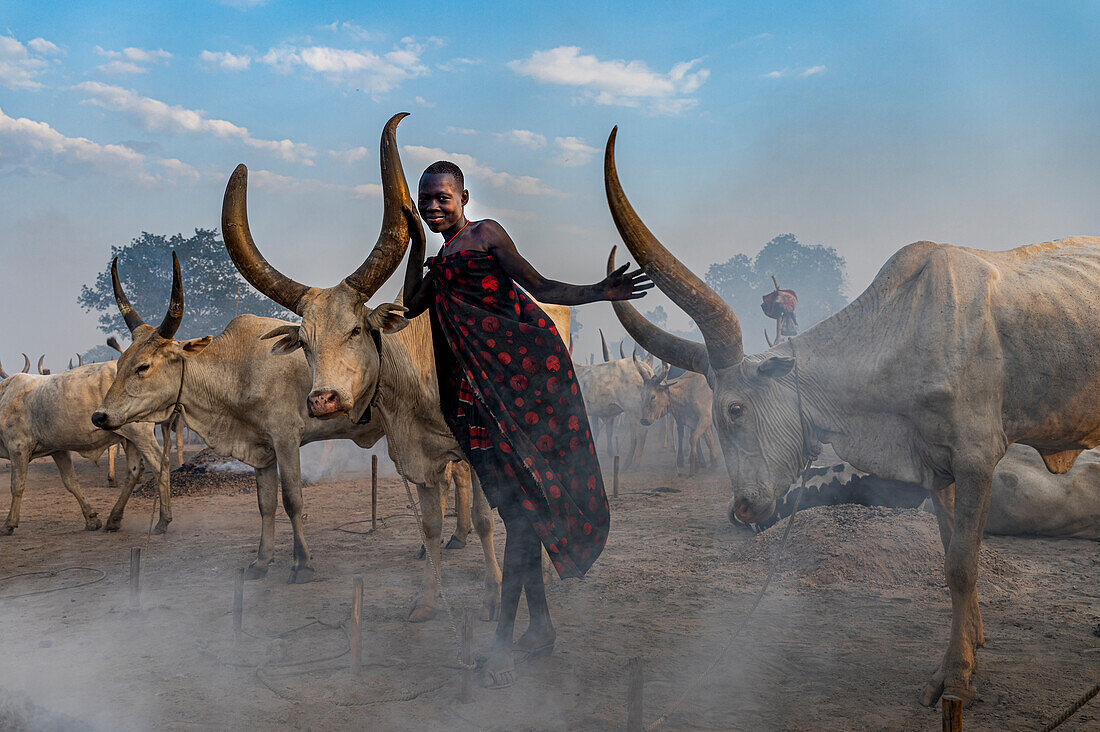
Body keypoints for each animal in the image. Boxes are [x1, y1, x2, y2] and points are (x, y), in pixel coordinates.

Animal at [607, 127, 1100, 704]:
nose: (744, 508)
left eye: (734, 408)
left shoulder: (977, 459)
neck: (903, 332)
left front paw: (956, 675)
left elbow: (961, 563)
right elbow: (949, 551)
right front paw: (974, 641)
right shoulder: (937, 467)